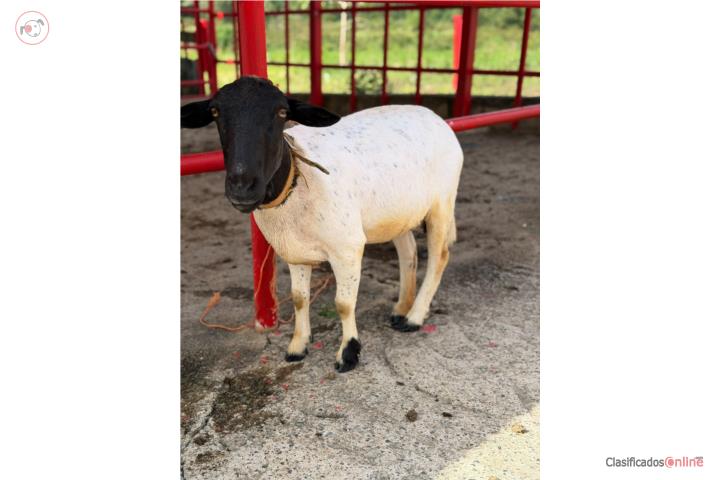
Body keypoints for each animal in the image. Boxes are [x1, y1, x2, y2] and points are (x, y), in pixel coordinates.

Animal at [181, 76, 463, 372]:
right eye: (215, 112)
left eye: (282, 113)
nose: (242, 187)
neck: (298, 174)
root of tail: (437, 118)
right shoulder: (294, 251)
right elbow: (299, 298)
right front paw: (297, 346)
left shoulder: (347, 248)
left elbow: (344, 303)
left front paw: (348, 354)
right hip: (397, 212)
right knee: (408, 252)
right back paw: (400, 310)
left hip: (442, 202)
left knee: (439, 257)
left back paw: (414, 316)